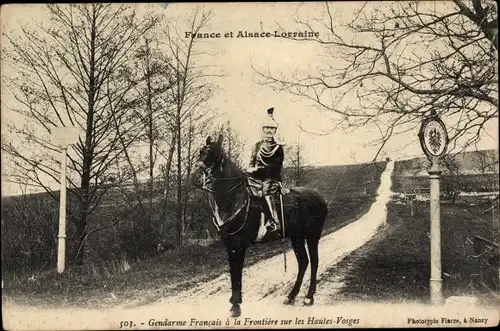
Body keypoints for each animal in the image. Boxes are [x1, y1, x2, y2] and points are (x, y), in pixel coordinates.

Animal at [191, 135, 328, 320]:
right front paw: (234, 300)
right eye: (201, 152)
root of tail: (320, 198)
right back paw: (291, 296)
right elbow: (233, 271)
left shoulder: (238, 245)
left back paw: (308, 297)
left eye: (215, 155)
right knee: (303, 262)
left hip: (312, 236)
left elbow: (236, 272)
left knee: (314, 261)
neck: (234, 199)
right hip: (297, 237)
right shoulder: (229, 244)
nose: (196, 176)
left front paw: (235, 306)